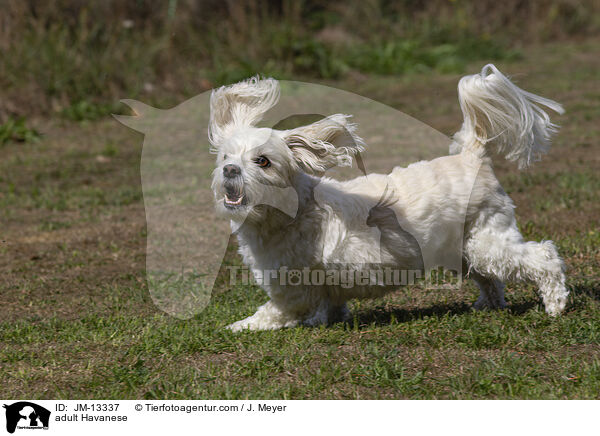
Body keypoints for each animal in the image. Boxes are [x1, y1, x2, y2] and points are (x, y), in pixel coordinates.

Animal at [210, 64, 568, 330]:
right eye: (226, 156)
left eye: (263, 161)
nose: (230, 169)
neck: (290, 213)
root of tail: (472, 155)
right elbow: (331, 305)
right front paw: (327, 320)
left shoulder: (292, 290)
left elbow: (274, 313)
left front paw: (240, 326)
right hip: (464, 248)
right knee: (489, 277)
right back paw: (488, 305)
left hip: (486, 240)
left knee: (543, 257)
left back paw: (556, 304)